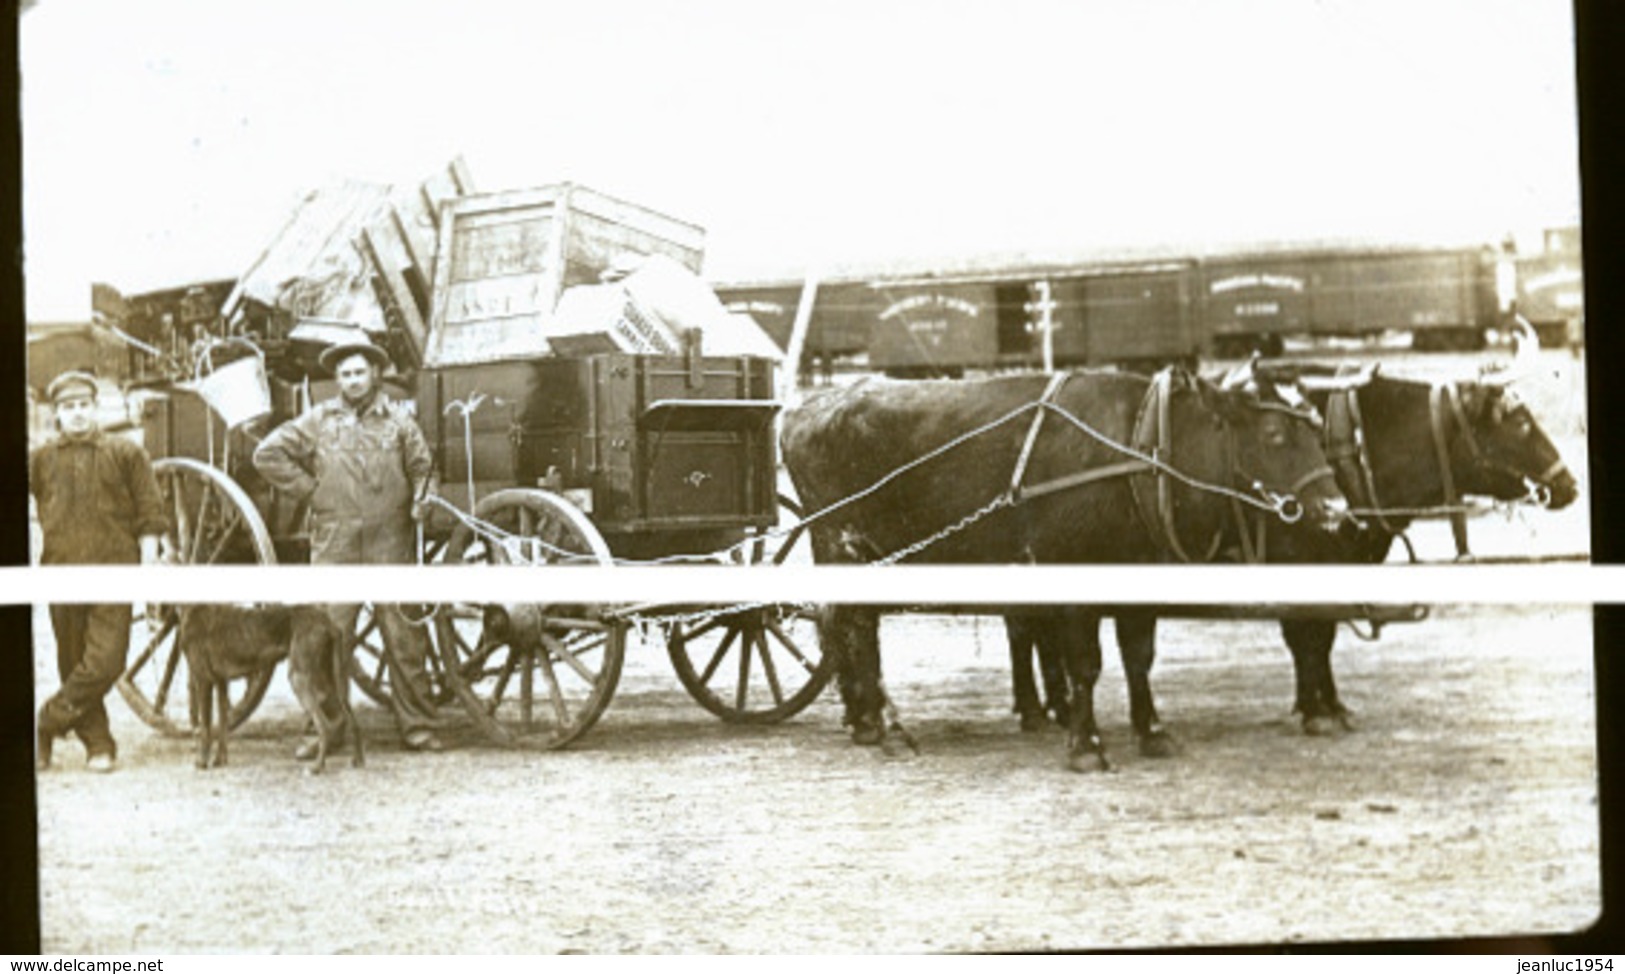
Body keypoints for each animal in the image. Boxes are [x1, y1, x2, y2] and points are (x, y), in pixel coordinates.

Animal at [181, 604, 365, 773]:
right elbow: (222, 726)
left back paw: (317, 767)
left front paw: (202, 763)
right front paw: (220, 760)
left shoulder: (203, 681)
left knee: (324, 724)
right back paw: (357, 760)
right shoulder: (221, 682)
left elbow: (205, 728)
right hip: (332, 681)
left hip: (299, 679)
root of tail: (328, 622)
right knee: (351, 719)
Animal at [780, 367, 1352, 777]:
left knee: (847, 625)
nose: (1335, 509)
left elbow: (1138, 658)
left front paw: (1152, 732)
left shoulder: (1139, 578)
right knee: (853, 627)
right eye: (1274, 433)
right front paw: (1086, 747)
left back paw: (865, 720)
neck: (1143, 447)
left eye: (1316, 431)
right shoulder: (1075, 582)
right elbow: (1085, 665)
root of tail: (808, 405)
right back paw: (886, 726)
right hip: (843, 545)